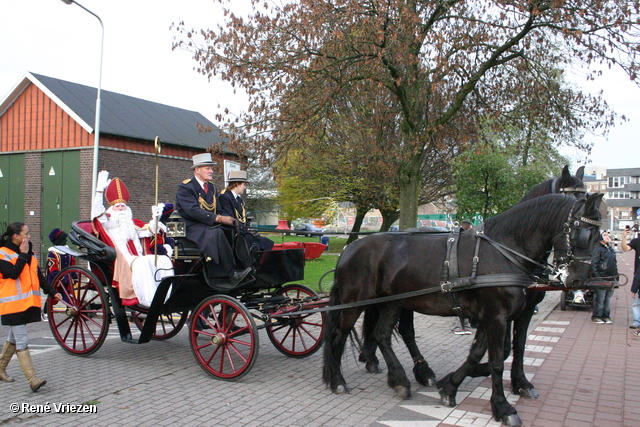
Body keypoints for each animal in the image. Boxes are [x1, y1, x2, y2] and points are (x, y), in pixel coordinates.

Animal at [322, 194, 604, 427]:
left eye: (598, 234)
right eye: (580, 233)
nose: (579, 280)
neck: (505, 250)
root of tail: (350, 247)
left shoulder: (500, 315)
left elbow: (490, 352)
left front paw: (450, 386)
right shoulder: (496, 316)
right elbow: (497, 360)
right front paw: (503, 407)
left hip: (393, 302)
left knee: (382, 335)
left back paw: (401, 379)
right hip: (355, 302)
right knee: (338, 336)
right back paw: (338, 381)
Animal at [358, 166, 588, 398]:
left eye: (586, 198)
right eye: (574, 200)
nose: (581, 271)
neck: (512, 248)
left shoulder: (524, 309)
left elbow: (518, 346)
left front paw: (520, 382)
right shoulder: (501, 311)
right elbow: (504, 350)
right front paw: (458, 377)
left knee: (403, 331)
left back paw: (407, 369)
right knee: (400, 331)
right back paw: (403, 371)